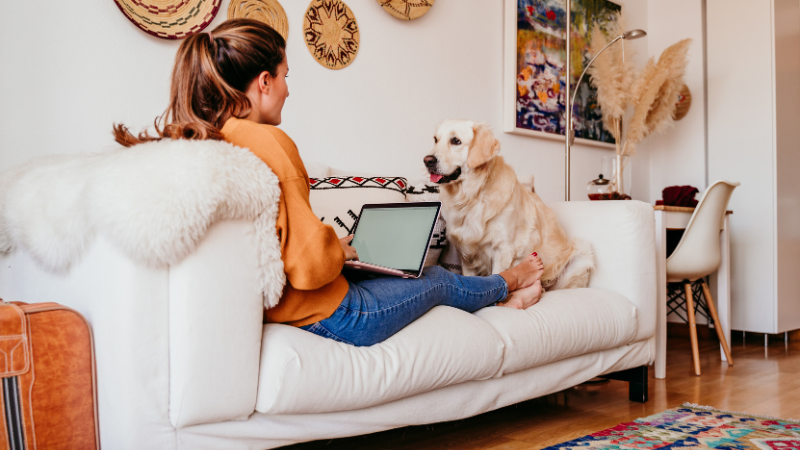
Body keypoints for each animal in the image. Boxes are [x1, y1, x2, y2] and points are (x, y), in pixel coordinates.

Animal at [424, 119, 592, 290]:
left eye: (455, 141)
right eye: (436, 140)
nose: (427, 160)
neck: (472, 197)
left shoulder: (503, 250)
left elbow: (500, 277)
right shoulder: (466, 255)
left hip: (581, 257)